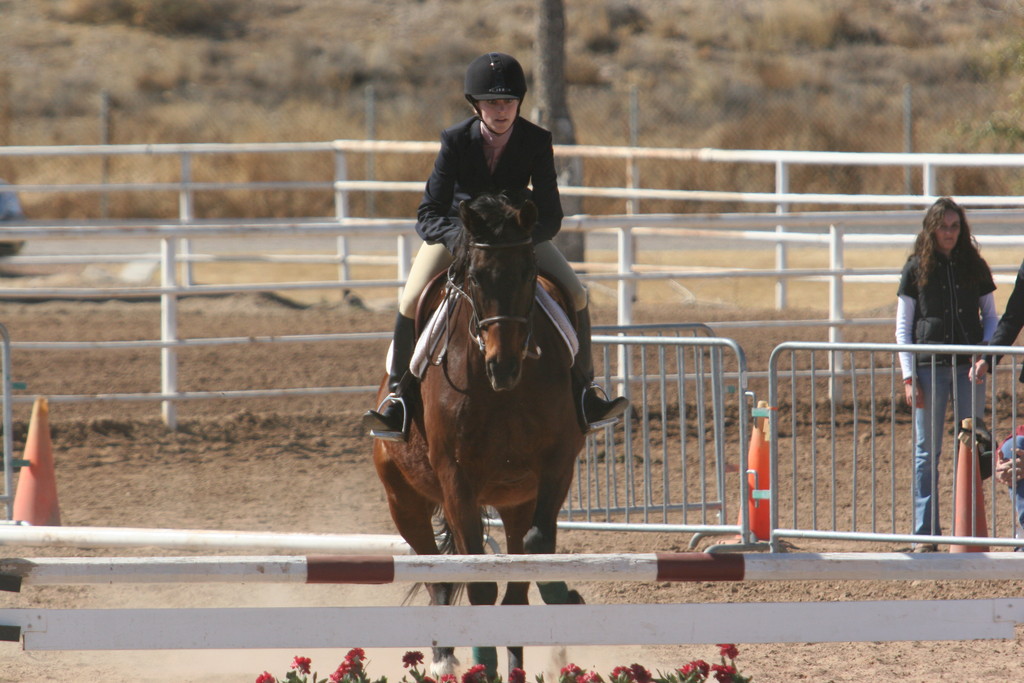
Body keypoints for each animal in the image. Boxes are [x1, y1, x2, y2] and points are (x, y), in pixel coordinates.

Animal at [374, 193, 585, 679]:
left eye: (528, 272)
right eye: (475, 276)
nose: (502, 367)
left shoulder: (556, 464)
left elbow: (536, 548)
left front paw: (564, 595)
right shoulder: (456, 478)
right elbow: (479, 581)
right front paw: (482, 662)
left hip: (515, 499)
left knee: (514, 577)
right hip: (405, 502)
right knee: (437, 573)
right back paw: (444, 660)